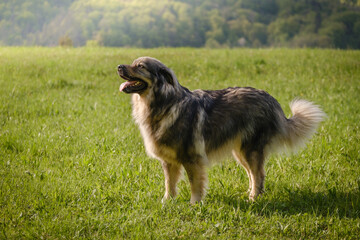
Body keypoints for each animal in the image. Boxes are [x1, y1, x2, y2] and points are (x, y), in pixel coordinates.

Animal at [118, 56, 326, 204]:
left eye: (140, 66)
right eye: (133, 63)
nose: (119, 67)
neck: (164, 103)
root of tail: (272, 101)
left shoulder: (192, 158)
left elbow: (195, 184)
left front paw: (194, 204)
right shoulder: (169, 161)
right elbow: (169, 183)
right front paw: (167, 201)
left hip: (250, 150)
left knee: (258, 174)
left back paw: (253, 199)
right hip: (240, 152)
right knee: (252, 174)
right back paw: (249, 193)